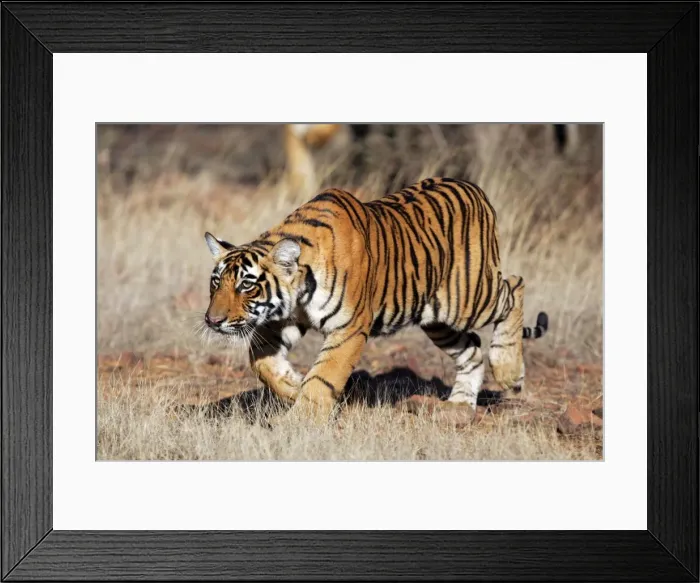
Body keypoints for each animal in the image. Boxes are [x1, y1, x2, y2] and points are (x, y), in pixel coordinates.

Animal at [204, 177, 548, 423]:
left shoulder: (350, 328)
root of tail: (474, 188)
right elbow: (261, 362)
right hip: (437, 320)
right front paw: (292, 386)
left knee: (514, 285)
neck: (299, 292)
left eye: (247, 285)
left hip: (468, 298)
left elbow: (325, 376)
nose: (212, 320)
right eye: (216, 282)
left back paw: (509, 371)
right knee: (472, 349)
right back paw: (460, 406)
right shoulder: (281, 321)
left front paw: (301, 420)